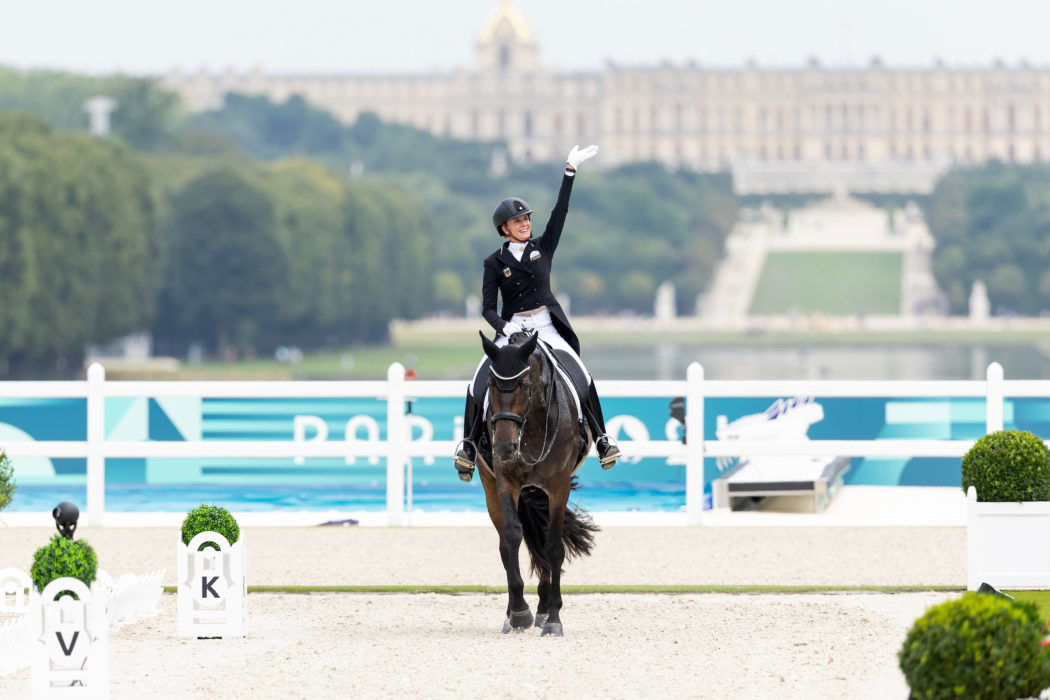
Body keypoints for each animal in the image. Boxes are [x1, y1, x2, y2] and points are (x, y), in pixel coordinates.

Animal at [476, 331, 600, 638]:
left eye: (524, 384)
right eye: (490, 384)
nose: (503, 448)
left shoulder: (558, 486)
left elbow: (553, 546)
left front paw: (554, 617)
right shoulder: (505, 480)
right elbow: (512, 536)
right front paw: (519, 613)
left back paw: (544, 608)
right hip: (491, 485)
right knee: (506, 544)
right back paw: (512, 614)